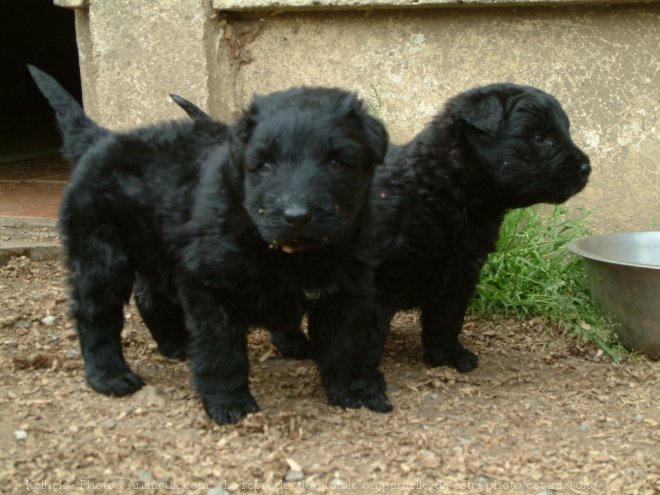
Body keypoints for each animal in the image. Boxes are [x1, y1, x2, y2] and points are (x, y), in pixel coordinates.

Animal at [29, 64, 392, 424]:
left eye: (336, 162)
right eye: (264, 165)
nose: (297, 216)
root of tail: (100, 137)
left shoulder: (346, 288)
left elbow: (343, 342)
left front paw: (351, 390)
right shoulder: (209, 287)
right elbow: (221, 352)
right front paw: (230, 402)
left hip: (157, 245)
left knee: (149, 297)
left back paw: (178, 344)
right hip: (100, 254)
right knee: (96, 315)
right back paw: (109, 376)